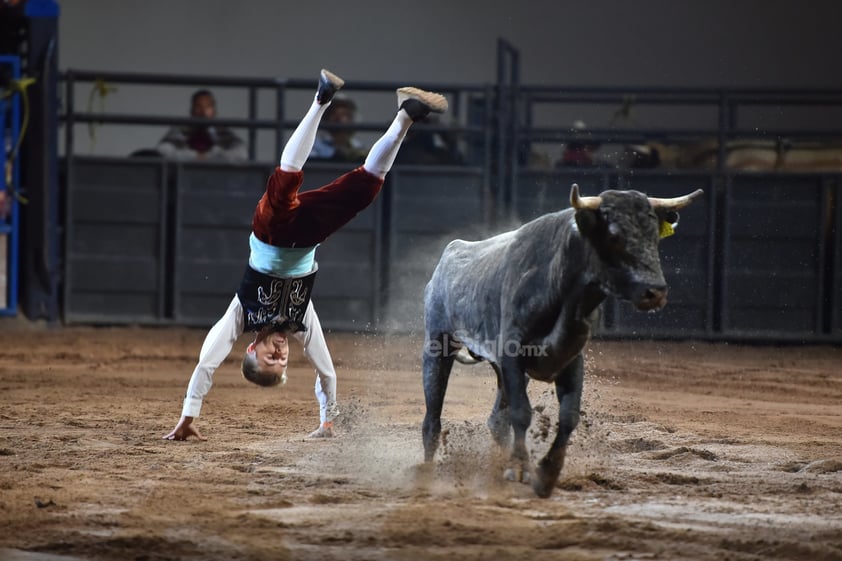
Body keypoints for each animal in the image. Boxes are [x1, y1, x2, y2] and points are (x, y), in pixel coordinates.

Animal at [420, 183, 704, 494]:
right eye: (614, 235)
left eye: (654, 236)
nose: (655, 292)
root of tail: (450, 253)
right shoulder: (511, 356)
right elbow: (522, 412)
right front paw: (519, 468)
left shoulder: (570, 359)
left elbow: (568, 416)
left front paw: (547, 473)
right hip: (437, 344)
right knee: (432, 418)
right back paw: (427, 473)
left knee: (496, 420)